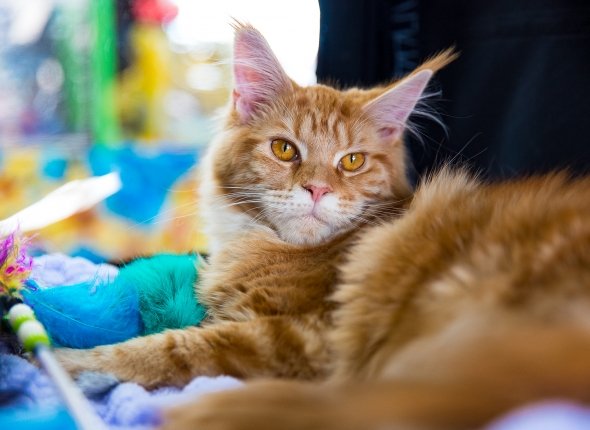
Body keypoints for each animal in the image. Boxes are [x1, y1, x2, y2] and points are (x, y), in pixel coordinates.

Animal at [55, 23, 454, 387]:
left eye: (353, 161)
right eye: (284, 149)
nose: (318, 189)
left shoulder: (303, 339)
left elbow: (170, 349)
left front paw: (71, 361)